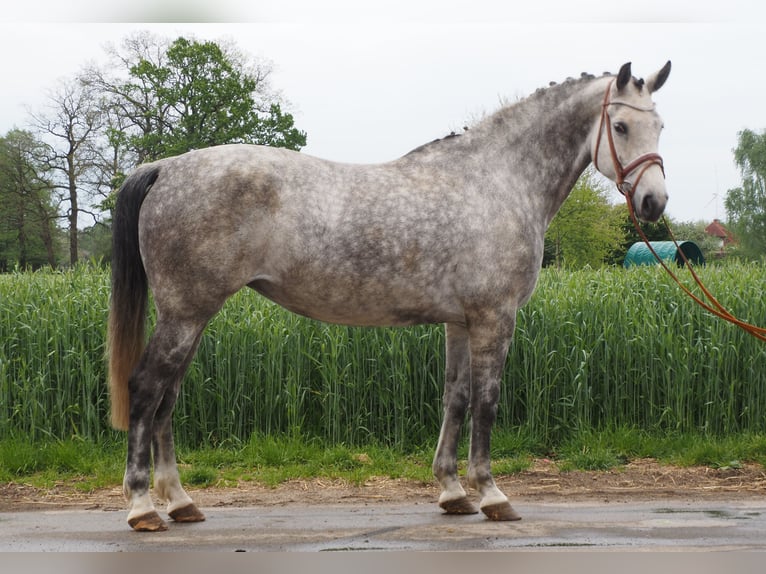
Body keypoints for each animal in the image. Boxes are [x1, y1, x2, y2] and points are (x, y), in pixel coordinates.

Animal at [108, 62, 672, 532]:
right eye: (621, 127)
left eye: (661, 126)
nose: (654, 202)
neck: (498, 183)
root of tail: (166, 168)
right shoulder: (494, 318)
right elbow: (486, 402)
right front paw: (491, 494)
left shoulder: (459, 322)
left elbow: (455, 398)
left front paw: (452, 492)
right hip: (185, 314)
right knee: (145, 389)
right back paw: (142, 507)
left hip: (193, 316)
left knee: (167, 398)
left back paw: (181, 502)